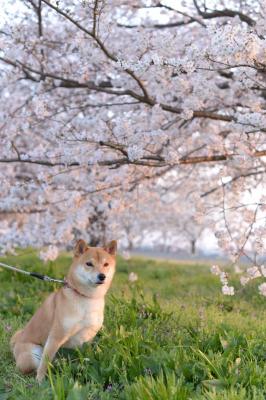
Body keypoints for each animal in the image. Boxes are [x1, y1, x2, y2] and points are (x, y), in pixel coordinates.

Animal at [10, 239, 116, 382]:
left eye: (106, 264)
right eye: (89, 264)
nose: (102, 276)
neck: (86, 298)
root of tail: (16, 343)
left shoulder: (88, 337)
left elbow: (85, 355)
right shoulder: (56, 336)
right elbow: (45, 362)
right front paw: (40, 380)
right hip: (32, 354)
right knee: (33, 366)